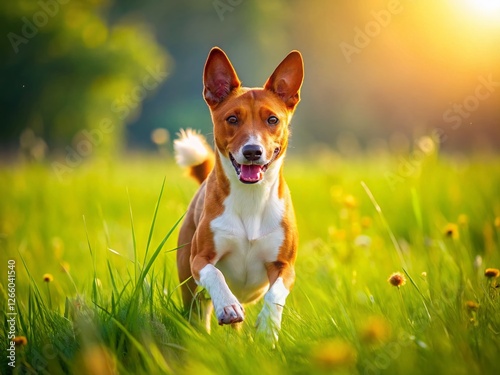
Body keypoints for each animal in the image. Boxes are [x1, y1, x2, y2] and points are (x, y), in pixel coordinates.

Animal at [174, 47, 302, 344]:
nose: (252, 151)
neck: (251, 197)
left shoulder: (284, 265)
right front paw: (228, 306)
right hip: (189, 285)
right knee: (198, 313)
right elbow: (215, 274)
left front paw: (268, 325)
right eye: (232, 119)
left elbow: (276, 293)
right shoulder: (200, 259)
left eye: (272, 119)